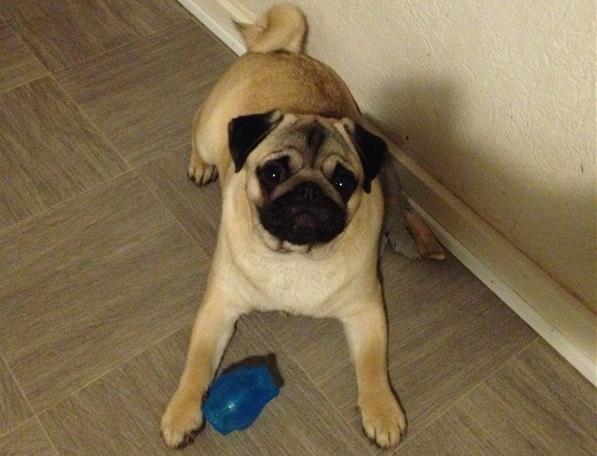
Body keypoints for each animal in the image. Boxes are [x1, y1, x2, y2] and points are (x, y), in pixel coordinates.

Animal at [161, 4, 442, 449]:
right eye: (273, 173)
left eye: (344, 181)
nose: (308, 192)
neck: (296, 256)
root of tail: (284, 53)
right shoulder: (219, 308)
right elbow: (198, 362)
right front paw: (182, 411)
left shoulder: (366, 311)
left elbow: (373, 365)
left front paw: (381, 411)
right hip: (208, 131)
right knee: (198, 142)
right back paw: (201, 166)